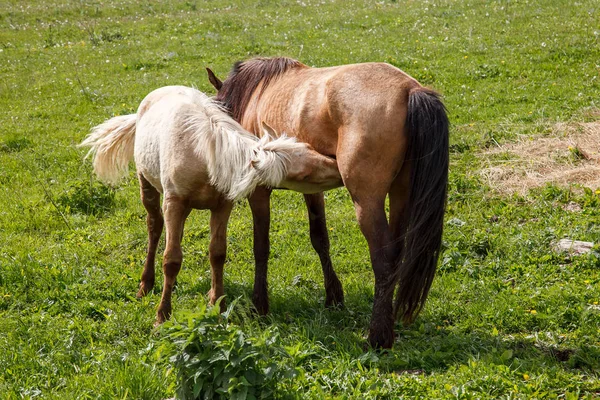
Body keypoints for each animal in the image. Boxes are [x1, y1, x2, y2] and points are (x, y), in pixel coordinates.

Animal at [80, 85, 342, 324]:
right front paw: (162, 316)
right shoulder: (173, 203)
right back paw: (146, 284)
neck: (203, 155)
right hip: (148, 186)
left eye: (308, 147)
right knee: (154, 228)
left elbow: (217, 253)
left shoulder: (222, 206)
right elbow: (171, 259)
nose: (337, 166)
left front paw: (218, 304)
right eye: (304, 174)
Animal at [209, 56, 448, 346]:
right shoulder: (313, 187)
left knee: (384, 258)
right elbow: (320, 238)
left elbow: (261, 247)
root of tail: (409, 90)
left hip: (367, 203)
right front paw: (333, 296)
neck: (255, 93)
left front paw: (259, 305)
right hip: (400, 195)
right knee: (398, 252)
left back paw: (378, 336)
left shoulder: (260, 191)